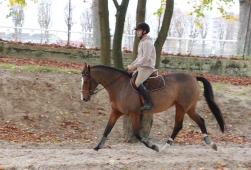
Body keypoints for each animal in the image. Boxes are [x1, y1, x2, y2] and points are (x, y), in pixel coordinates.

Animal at [81, 63, 226, 152]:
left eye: (86, 81)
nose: (84, 98)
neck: (120, 87)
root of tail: (194, 77)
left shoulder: (133, 113)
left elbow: (137, 133)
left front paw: (153, 146)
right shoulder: (115, 112)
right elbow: (107, 129)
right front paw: (98, 147)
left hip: (182, 107)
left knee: (178, 125)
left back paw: (164, 147)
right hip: (189, 108)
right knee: (200, 120)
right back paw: (211, 143)